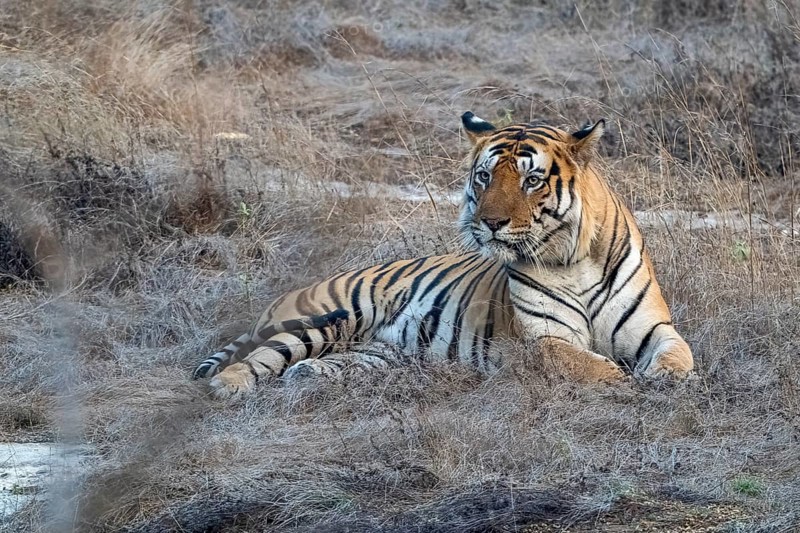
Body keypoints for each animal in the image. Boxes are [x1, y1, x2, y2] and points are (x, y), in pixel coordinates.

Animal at [194, 112, 694, 398]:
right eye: (484, 176)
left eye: (532, 180)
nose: (490, 222)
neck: (573, 261)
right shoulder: (543, 339)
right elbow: (575, 360)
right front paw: (618, 379)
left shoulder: (654, 328)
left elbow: (679, 352)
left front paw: (667, 377)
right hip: (331, 317)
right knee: (262, 356)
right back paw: (229, 386)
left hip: (377, 352)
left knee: (322, 363)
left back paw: (307, 376)